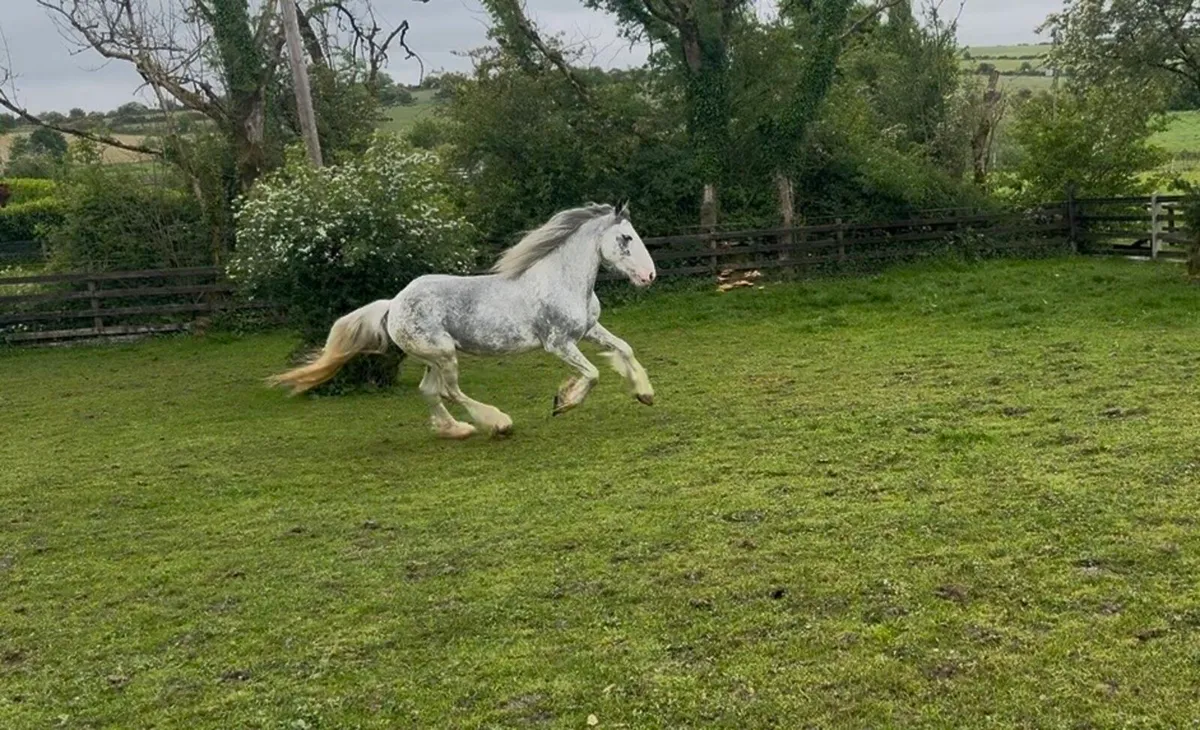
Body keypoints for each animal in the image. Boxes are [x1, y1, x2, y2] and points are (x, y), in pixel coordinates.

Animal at [269, 202, 658, 439]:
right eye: (626, 238)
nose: (649, 276)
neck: (560, 279)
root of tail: (393, 304)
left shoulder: (589, 330)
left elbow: (625, 348)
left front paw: (644, 393)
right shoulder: (558, 342)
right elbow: (592, 374)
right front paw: (563, 402)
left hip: (431, 357)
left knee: (429, 390)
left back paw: (456, 430)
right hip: (443, 354)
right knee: (449, 390)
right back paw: (498, 423)